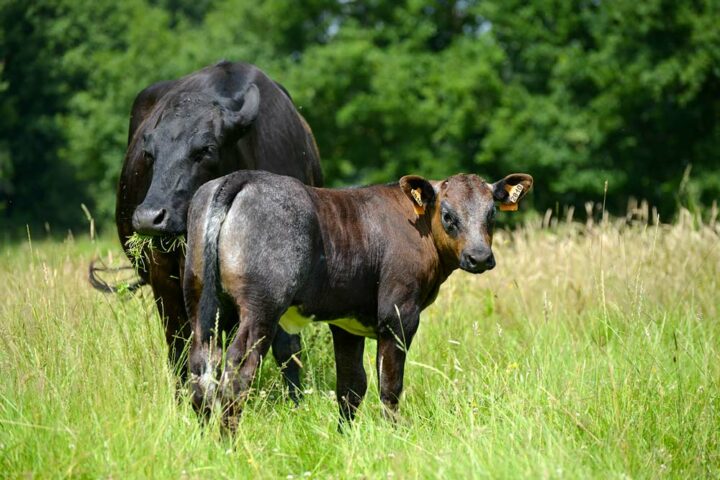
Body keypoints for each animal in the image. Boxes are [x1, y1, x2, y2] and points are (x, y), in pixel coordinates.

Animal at [107, 62, 320, 398]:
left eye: (205, 149)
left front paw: (296, 399)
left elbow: (287, 345)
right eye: (150, 153)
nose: (149, 218)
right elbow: (182, 343)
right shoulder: (166, 274)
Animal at [183, 169, 532, 428]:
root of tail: (242, 177)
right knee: (237, 371)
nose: (479, 257)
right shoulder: (398, 315)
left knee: (201, 370)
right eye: (448, 215)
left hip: (203, 304)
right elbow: (389, 385)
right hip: (260, 309)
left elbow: (351, 386)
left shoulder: (346, 324)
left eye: (491, 213)